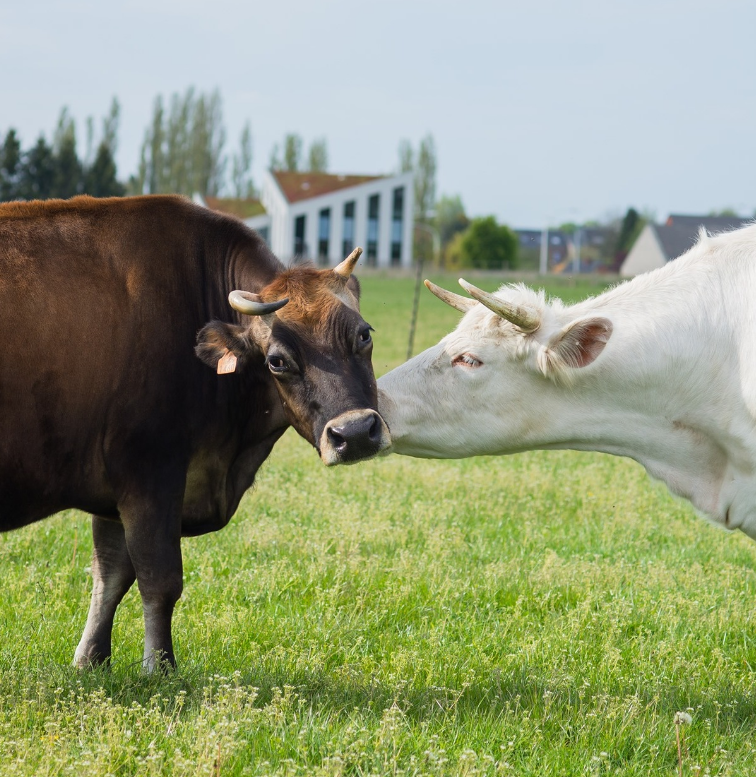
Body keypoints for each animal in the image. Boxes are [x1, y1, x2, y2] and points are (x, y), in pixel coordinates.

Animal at [0, 192, 390, 668]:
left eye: (364, 335)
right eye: (277, 360)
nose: (354, 433)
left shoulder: (112, 490)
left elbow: (110, 574)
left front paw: (91, 660)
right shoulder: (150, 470)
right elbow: (159, 579)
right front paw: (159, 667)